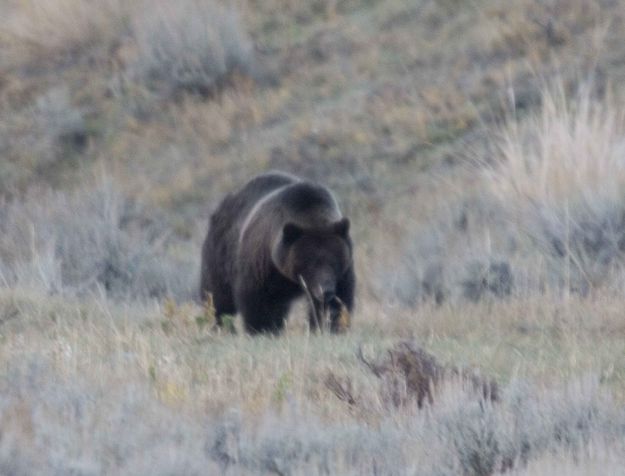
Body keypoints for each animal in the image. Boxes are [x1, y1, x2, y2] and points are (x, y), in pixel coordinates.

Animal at [201, 172, 356, 334]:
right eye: (310, 263)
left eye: (335, 261)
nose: (325, 291)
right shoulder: (262, 265)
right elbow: (258, 301)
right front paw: (262, 329)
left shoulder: (343, 271)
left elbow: (339, 300)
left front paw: (328, 326)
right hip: (220, 255)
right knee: (218, 298)